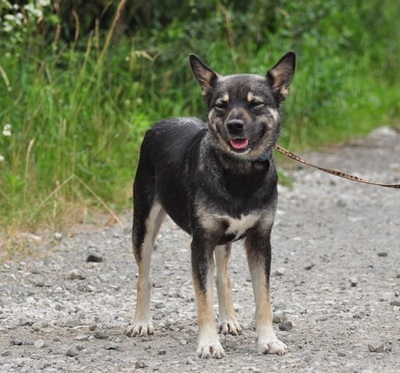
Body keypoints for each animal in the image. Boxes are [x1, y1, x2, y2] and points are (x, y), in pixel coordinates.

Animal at [126, 51, 296, 358]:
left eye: (255, 104)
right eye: (221, 105)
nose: (234, 126)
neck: (238, 174)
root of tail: (159, 124)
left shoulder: (260, 240)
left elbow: (263, 298)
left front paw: (267, 339)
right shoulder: (200, 242)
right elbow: (202, 299)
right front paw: (208, 343)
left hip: (222, 239)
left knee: (222, 277)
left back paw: (228, 319)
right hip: (143, 224)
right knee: (144, 275)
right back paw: (142, 322)